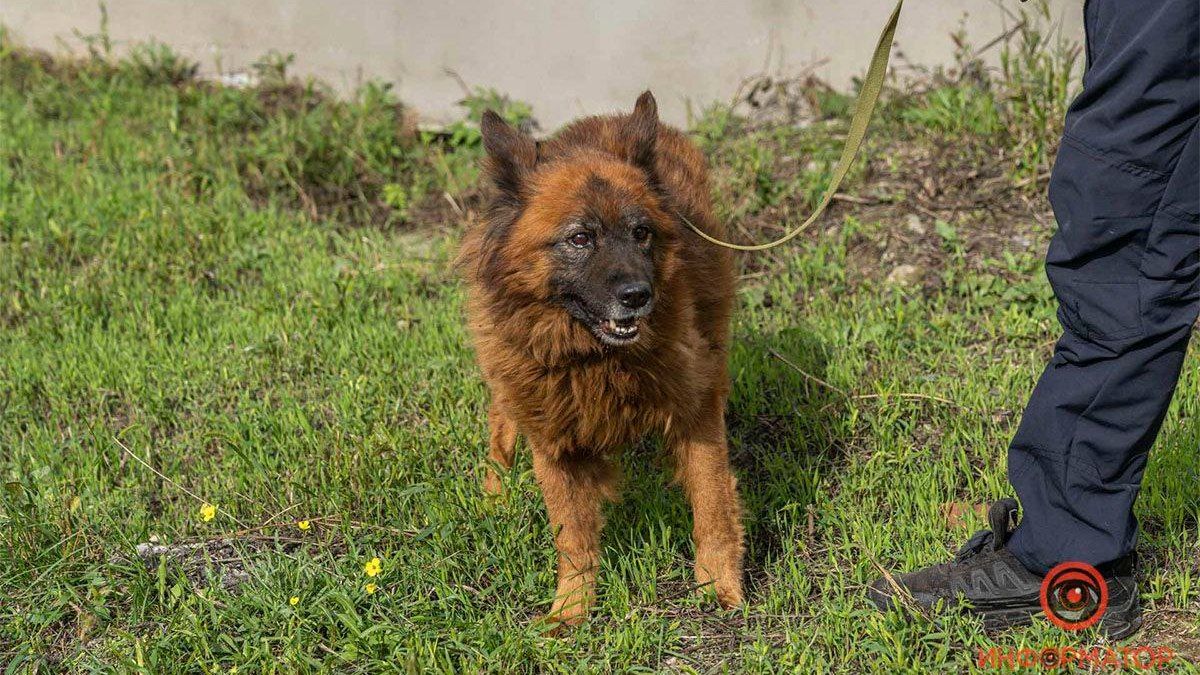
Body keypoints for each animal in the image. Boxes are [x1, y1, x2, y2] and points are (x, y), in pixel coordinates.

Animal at [456, 90, 739, 624]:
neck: (596, 359)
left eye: (641, 232)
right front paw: (571, 610)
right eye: (580, 238)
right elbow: (573, 538)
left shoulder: (697, 410)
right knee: (500, 419)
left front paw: (720, 587)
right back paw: (493, 496)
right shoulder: (554, 439)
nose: (638, 296)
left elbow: (713, 505)